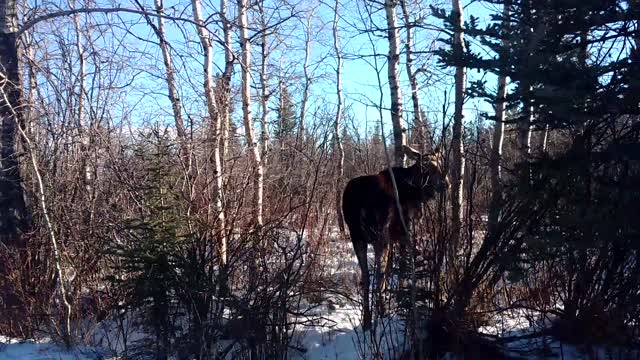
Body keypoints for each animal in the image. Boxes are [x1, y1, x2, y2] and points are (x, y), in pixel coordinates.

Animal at [342, 145, 448, 330]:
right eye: (429, 167)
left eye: (441, 162)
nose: (447, 183)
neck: (416, 194)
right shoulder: (406, 231)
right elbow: (402, 264)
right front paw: (401, 294)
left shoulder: (392, 238)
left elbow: (391, 266)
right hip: (379, 235)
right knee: (377, 273)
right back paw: (381, 312)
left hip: (357, 237)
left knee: (366, 276)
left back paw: (367, 320)